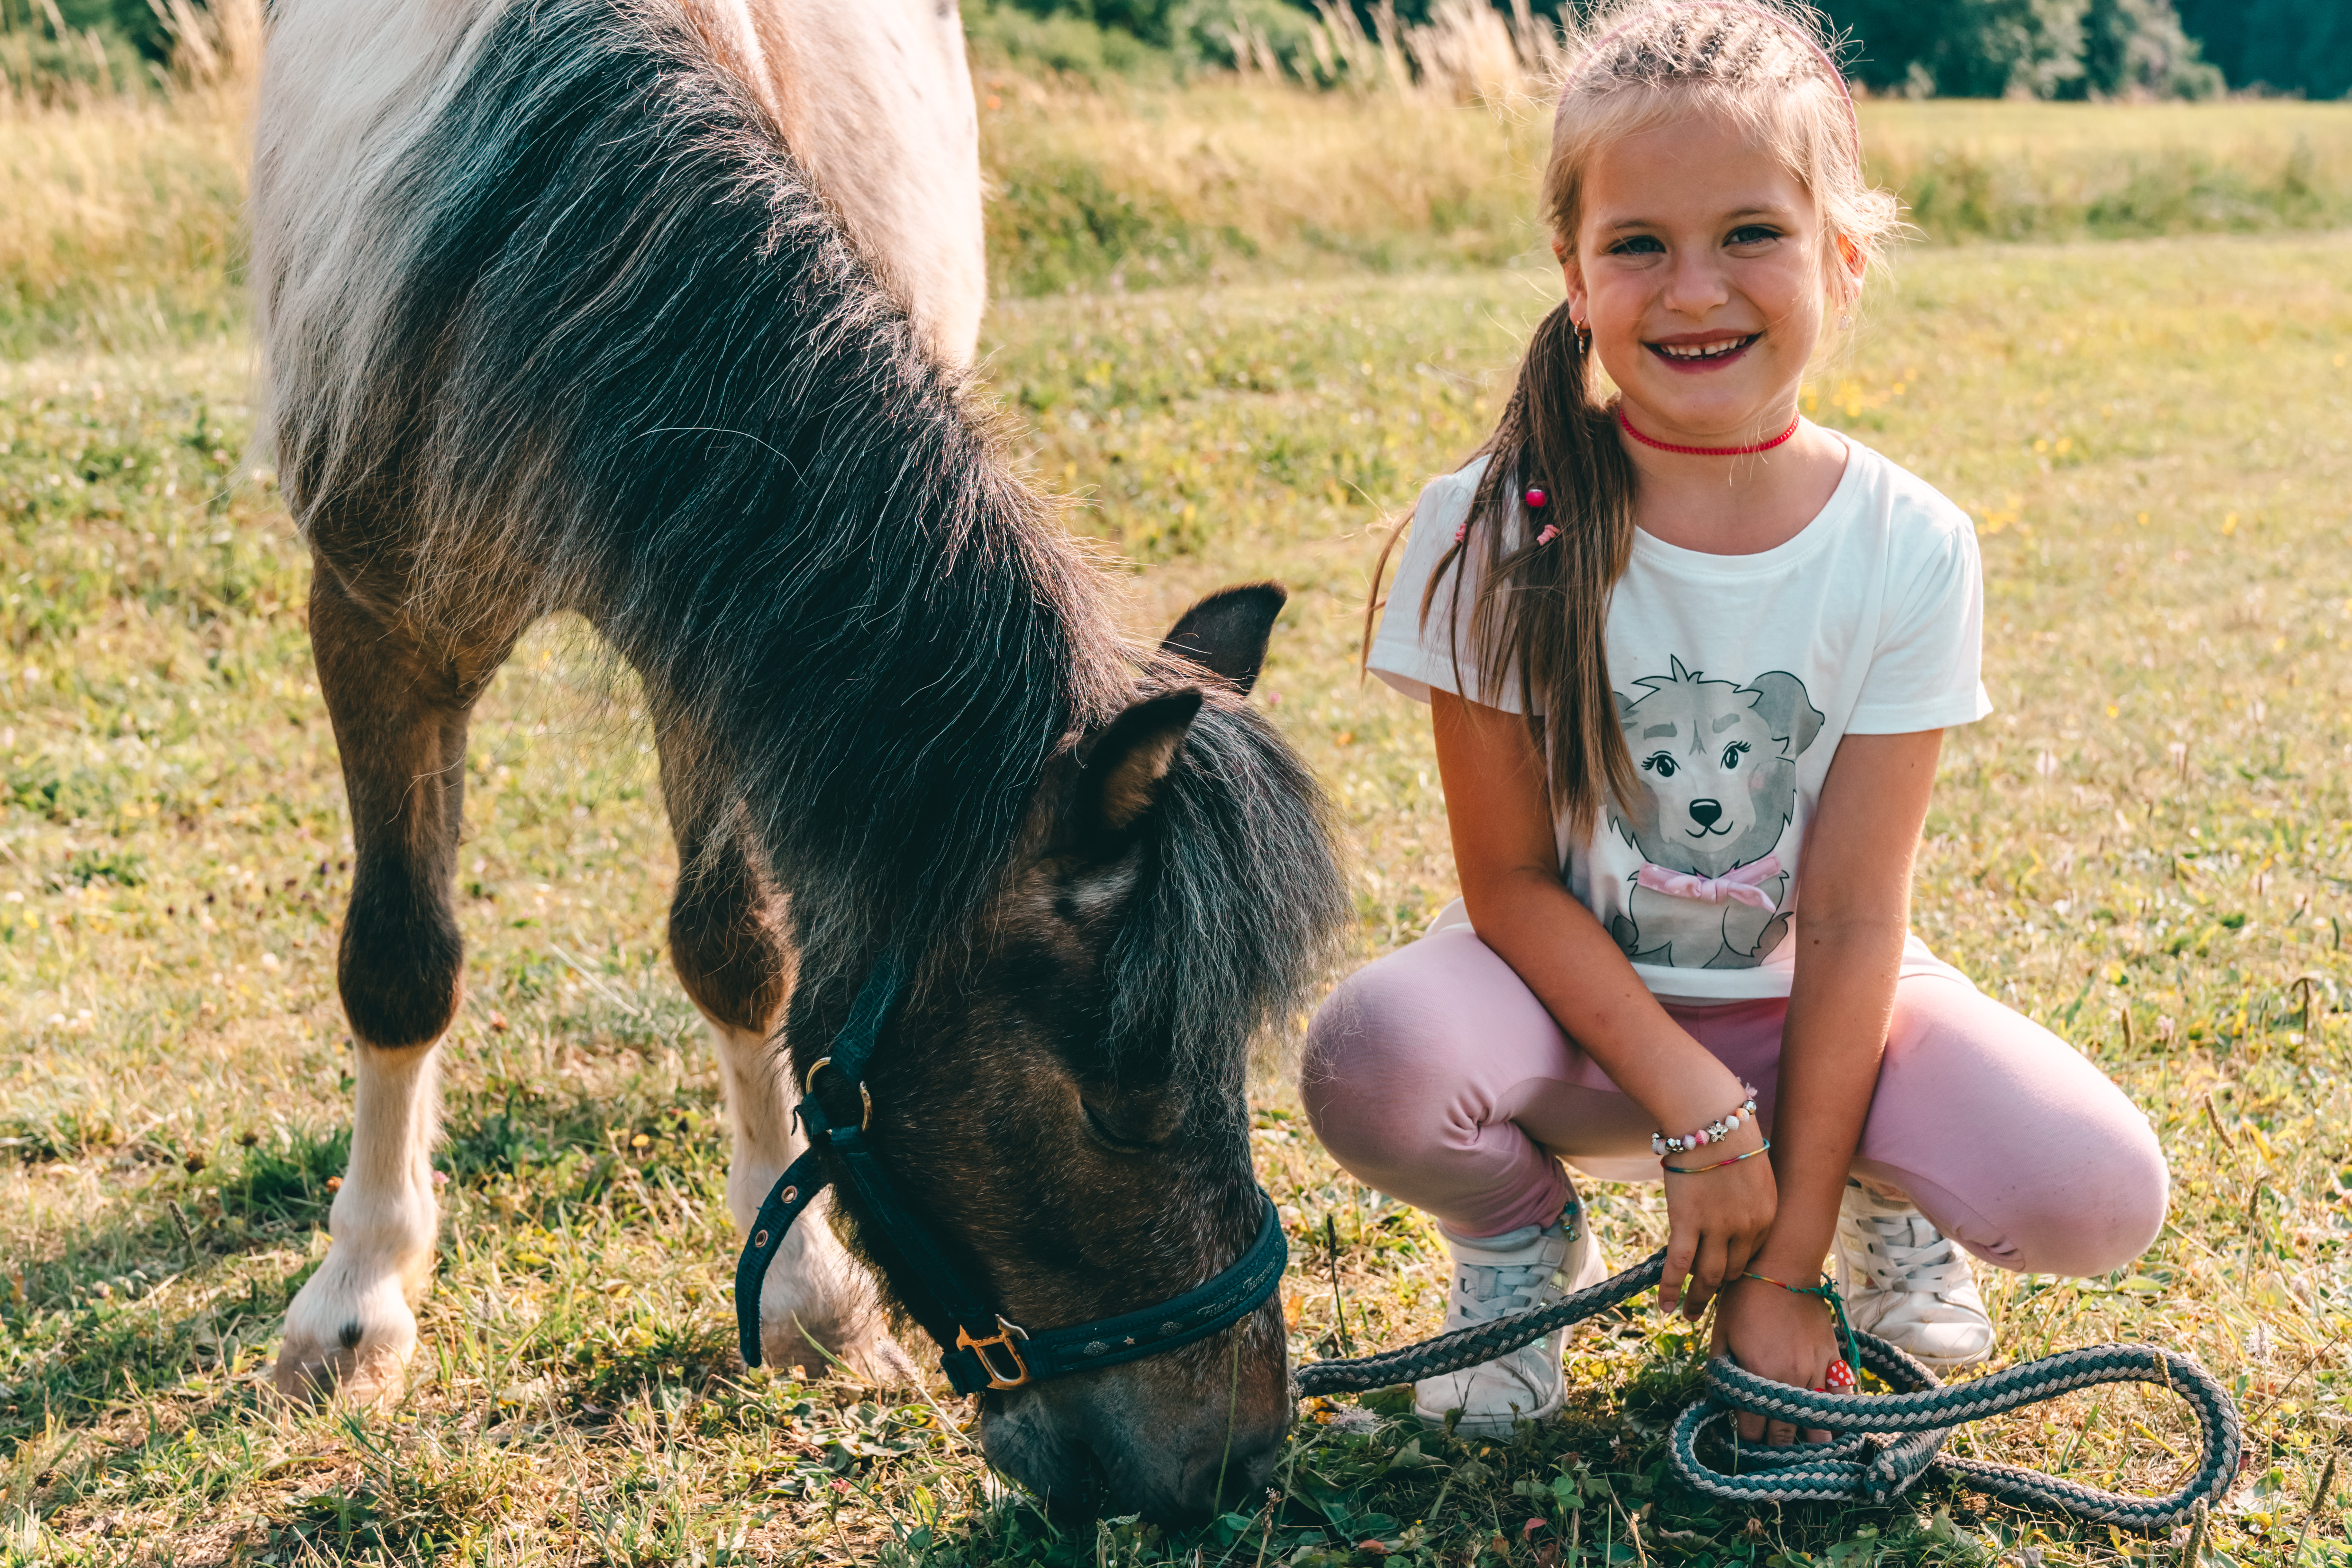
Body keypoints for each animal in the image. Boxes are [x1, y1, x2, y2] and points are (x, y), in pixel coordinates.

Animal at [248, 0, 1349, 1522]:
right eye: (1117, 1089)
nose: (1236, 1452)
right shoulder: (377, 623)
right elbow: (400, 965)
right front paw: (356, 1302)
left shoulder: (711, 648)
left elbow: (742, 955)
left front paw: (807, 1290)